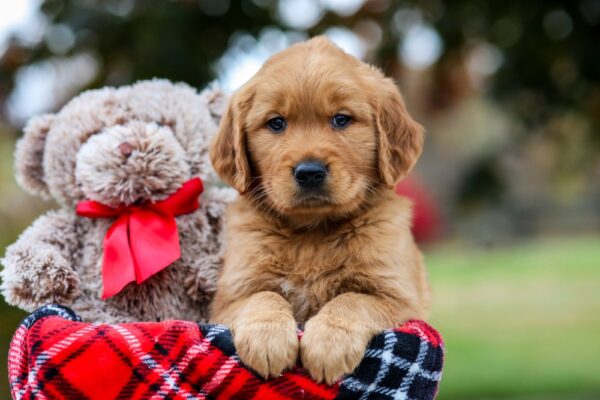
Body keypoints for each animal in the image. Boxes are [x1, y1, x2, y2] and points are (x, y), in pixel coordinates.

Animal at [209, 37, 428, 384]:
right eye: (276, 123)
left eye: (341, 119)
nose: (309, 172)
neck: (312, 234)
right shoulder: (230, 297)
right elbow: (263, 297)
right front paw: (267, 339)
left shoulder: (399, 297)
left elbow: (352, 300)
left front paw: (329, 343)